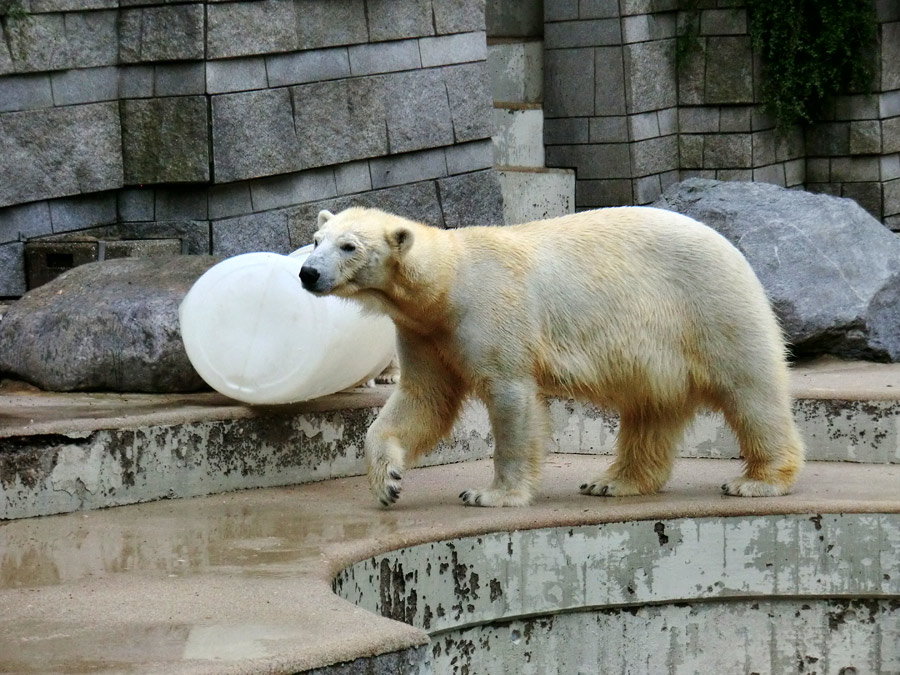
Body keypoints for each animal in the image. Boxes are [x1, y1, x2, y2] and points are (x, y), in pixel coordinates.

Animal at [298, 206, 804, 508]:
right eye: (317, 238)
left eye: (349, 246)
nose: (307, 273)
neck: (448, 283)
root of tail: (733, 249)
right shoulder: (425, 332)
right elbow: (423, 400)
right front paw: (387, 481)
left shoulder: (491, 312)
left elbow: (508, 397)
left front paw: (490, 494)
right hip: (661, 350)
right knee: (650, 409)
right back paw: (610, 481)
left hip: (709, 307)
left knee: (749, 390)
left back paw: (757, 480)